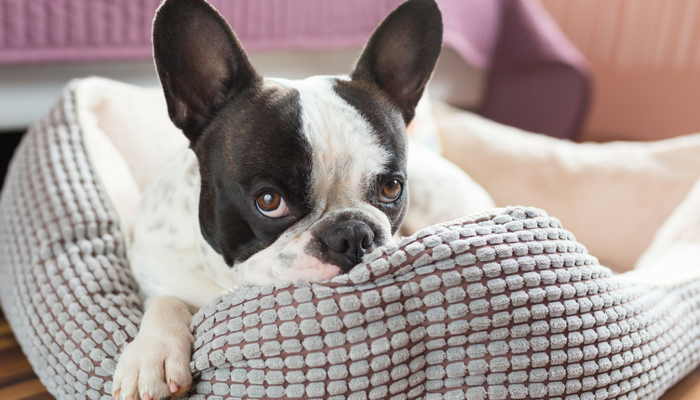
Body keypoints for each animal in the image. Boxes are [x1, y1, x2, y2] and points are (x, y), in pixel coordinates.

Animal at [113, 0, 454, 398]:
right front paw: (152, 355)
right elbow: (165, 301)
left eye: (391, 188)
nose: (353, 235)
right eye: (269, 201)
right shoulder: (155, 271)